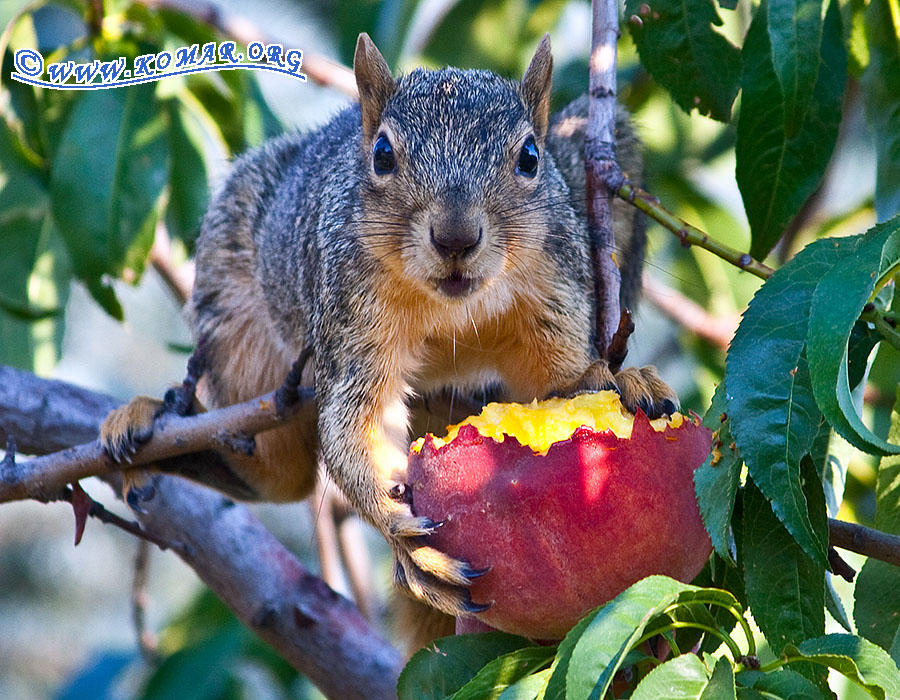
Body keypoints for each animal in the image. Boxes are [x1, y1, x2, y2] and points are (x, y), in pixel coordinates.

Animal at [100, 34, 676, 640]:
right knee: (278, 477)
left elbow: (558, 385)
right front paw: (400, 535)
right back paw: (151, 429)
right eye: (381, 155)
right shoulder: (351, 316)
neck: (453, 312)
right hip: (236, 316)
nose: (455, 238)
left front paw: (613, 379)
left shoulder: (553, 285)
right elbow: (358, 422)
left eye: (529, 158)